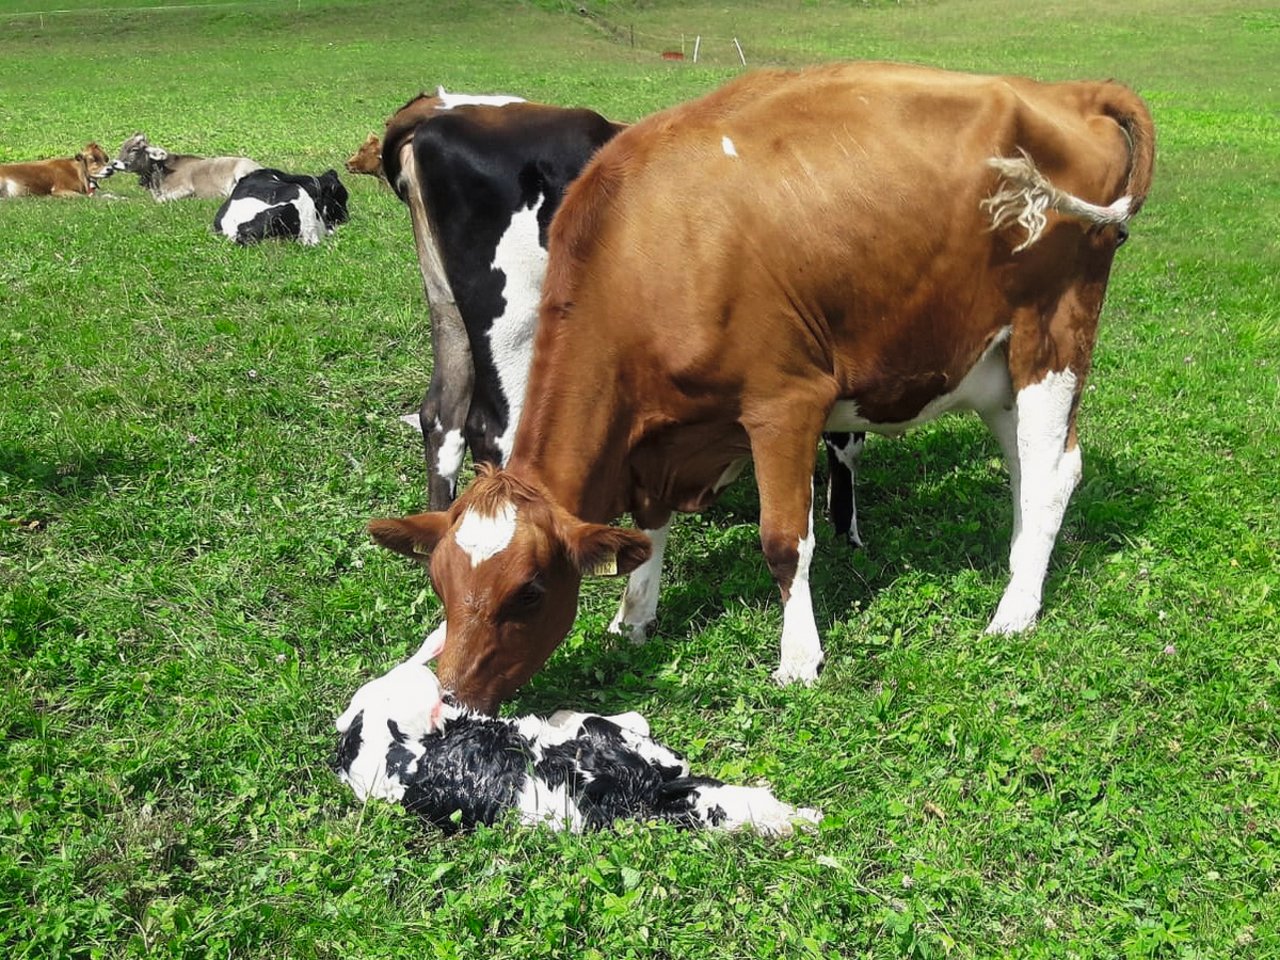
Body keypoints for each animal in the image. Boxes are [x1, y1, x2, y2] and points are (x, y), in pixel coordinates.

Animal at [332, 632, 819, 834]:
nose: (804, 820)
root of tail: (345, 759)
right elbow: (621, 719)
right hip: (403, 693)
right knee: (405, 671)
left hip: (398, 700)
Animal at [366, 62, 1157, 716]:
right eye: (440, 583)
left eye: (529, 591)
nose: (451, 695)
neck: (650, 248)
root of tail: (1072, 91)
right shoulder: (660, 438)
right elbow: (647, 528)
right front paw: (633, 618)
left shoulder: (786, 402)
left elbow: (783, 541)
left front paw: (799, 658)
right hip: (992, 364)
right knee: (1027, 467)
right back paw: (1020, 574)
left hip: (1051, 333)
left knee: (1053, 470)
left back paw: (1013, 613)